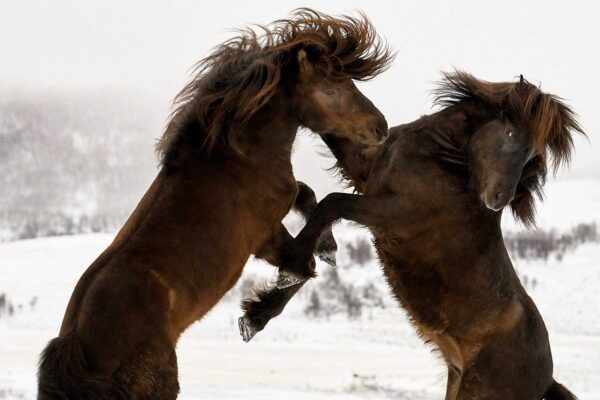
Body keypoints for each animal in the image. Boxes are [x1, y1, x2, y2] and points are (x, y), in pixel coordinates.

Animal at [37, 9, 394, 400]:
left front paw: (328, 246)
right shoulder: (265, 238)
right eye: (330, 90)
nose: (381, 128)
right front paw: (253, 317)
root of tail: (75, 347)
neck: (234, 158)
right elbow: (301, 266)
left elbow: (307, 197)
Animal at [241, 72, 584, 400]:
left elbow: (332, 204)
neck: (444, 163)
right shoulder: (366, 169)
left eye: (531, 154)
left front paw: (282, 281)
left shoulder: (394, 212)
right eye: (511, 133)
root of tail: (547, 381)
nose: (500, 198)